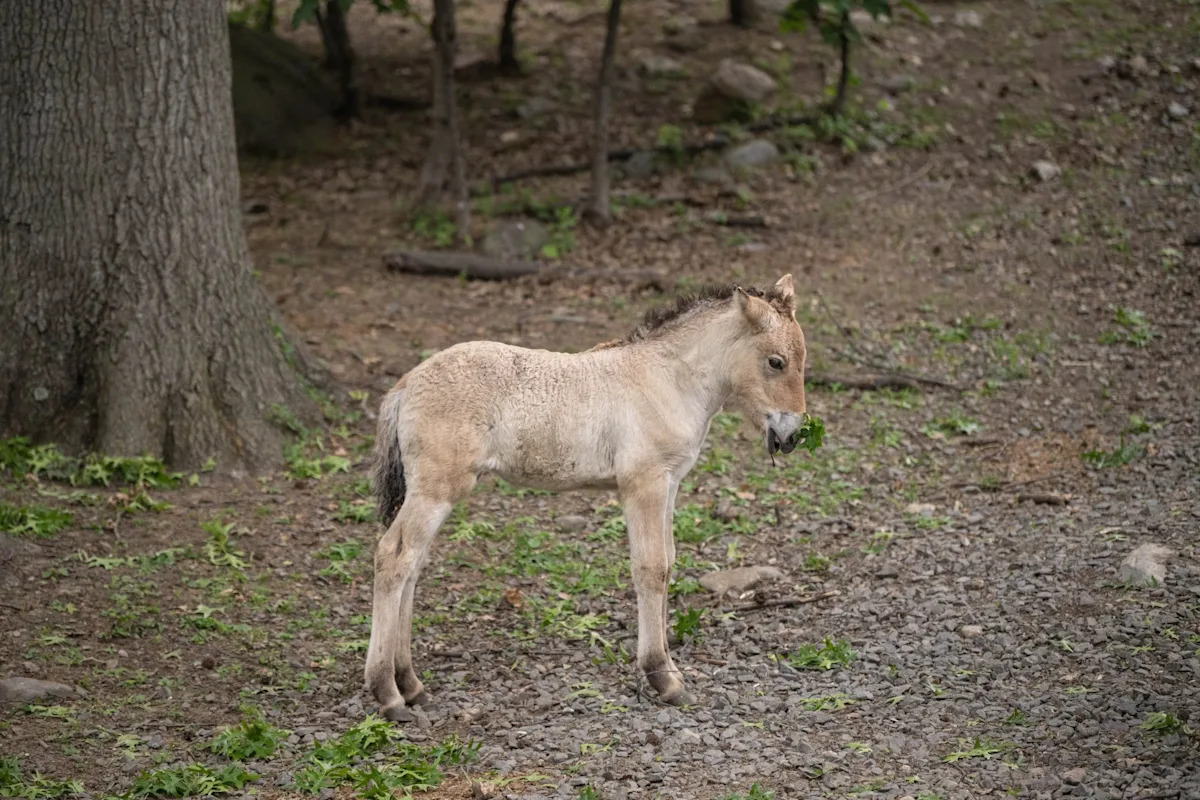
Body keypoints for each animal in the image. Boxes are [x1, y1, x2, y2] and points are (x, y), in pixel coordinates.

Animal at [365, 274, 809, 720]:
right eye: (776, 362)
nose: (790, 436)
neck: (669, 380)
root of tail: (408, 381)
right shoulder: (643, 484)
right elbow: (651, 569)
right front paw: (662, 678)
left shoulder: (669, 484)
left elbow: (668, 562)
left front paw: (668, 669)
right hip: (436, 489)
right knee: (395, 556)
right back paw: (387, 692)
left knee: (413, 563)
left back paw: (411, 684)